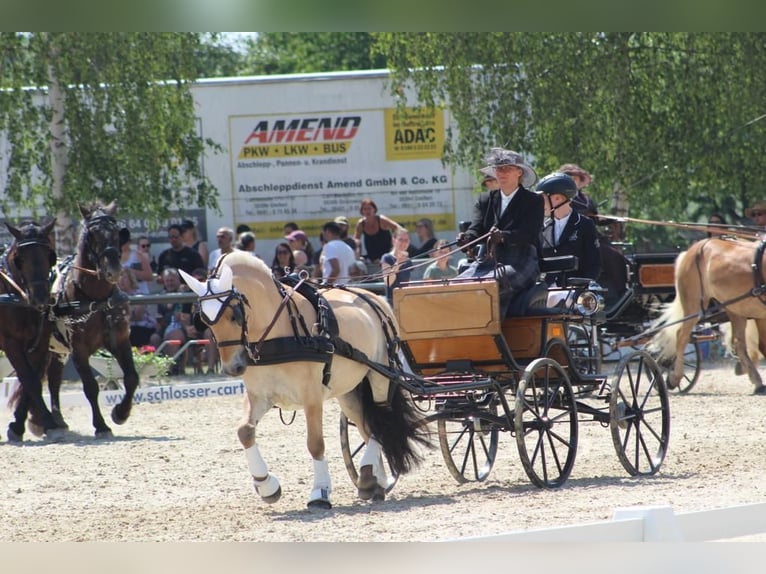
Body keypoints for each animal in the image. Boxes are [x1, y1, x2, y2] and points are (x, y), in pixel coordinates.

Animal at [0, 218, 60, 444]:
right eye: (20, 257)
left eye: (49, 254)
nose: (41, 298)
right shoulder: (10, 342)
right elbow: (30, 380)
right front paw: (50, 423)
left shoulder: (40, 341)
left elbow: (30, 381)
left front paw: (20, 424)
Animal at [182, 252, 428, 508]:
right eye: (204, 320)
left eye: (234, 315)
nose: (233, 367)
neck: (276, 334)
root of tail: (375, 297)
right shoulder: (259, 396)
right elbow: (245, 432)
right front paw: (266, 485)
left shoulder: (312, 396)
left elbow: (315, 443)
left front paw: (320, 492)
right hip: (349, 391)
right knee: (367, 427)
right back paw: (373, 481)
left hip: (380, 375)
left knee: (383, 419)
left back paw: (369, 475)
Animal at [652, 238, 766, 396]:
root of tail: (693, 249)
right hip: (693, 306)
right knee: (681, 336)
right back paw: (675, 378)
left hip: (736, 309)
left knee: (740, 343)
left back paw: (755, 380)